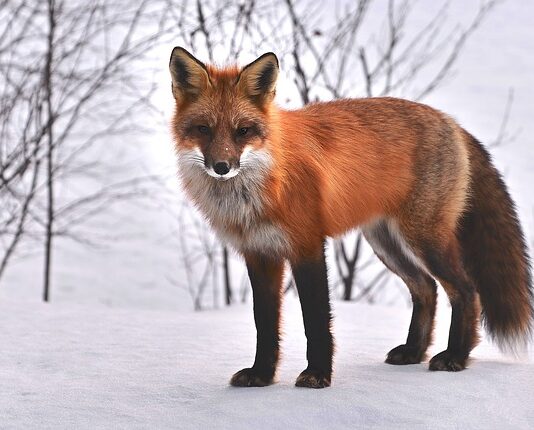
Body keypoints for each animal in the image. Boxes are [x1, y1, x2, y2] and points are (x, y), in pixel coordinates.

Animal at [170, 47, 532, 390]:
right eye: (203, 129)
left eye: (243, 131)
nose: (222, 167)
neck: (262, 185)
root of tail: (450, 121)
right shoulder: (259, 254)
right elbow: (265, 324)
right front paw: (261, 375)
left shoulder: (307, 246)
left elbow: (316, 321)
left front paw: (317, 375)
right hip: (386, 243)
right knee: (426, 288)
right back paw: (414, 352)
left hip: (424, 239)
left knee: (467, 291)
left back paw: (455, 356)